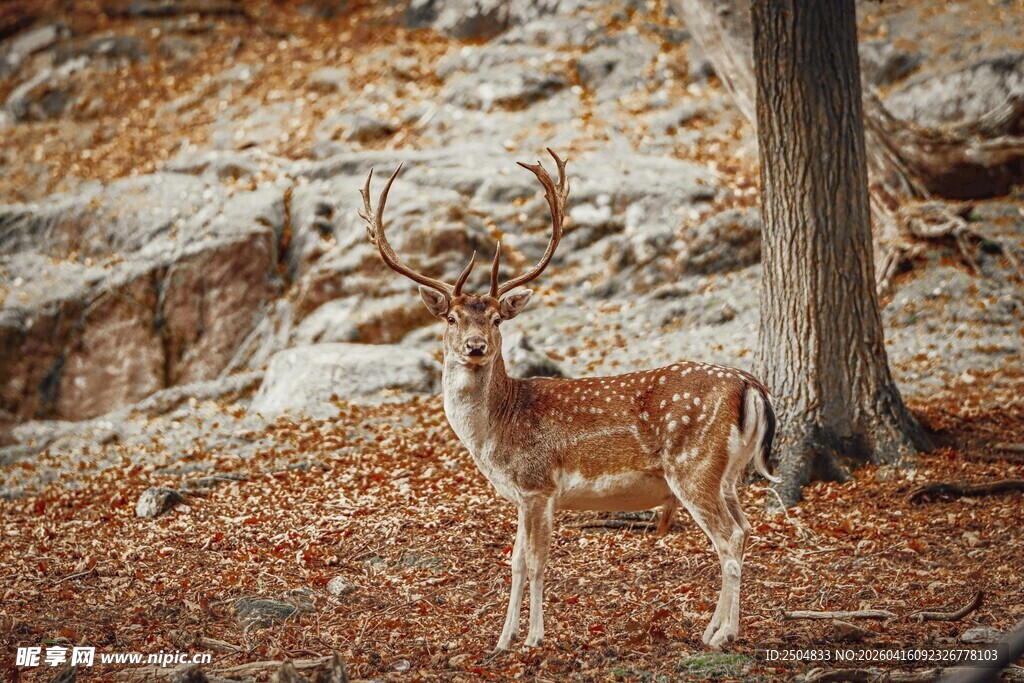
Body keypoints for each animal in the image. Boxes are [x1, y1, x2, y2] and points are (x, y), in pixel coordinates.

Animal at [358, 149, 779, 652]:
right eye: (453, 319)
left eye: (497, 319)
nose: (476, 347)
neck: (495, 433)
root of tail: (751, 385)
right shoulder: (523, 494)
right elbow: (515, 562)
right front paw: (502, 640)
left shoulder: (537, 484)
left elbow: (538, 561)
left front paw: (534, 638)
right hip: (728, 473)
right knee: (746, 529)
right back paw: (712, 628)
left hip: (693, 465)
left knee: (729, 537)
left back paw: (722, 635)